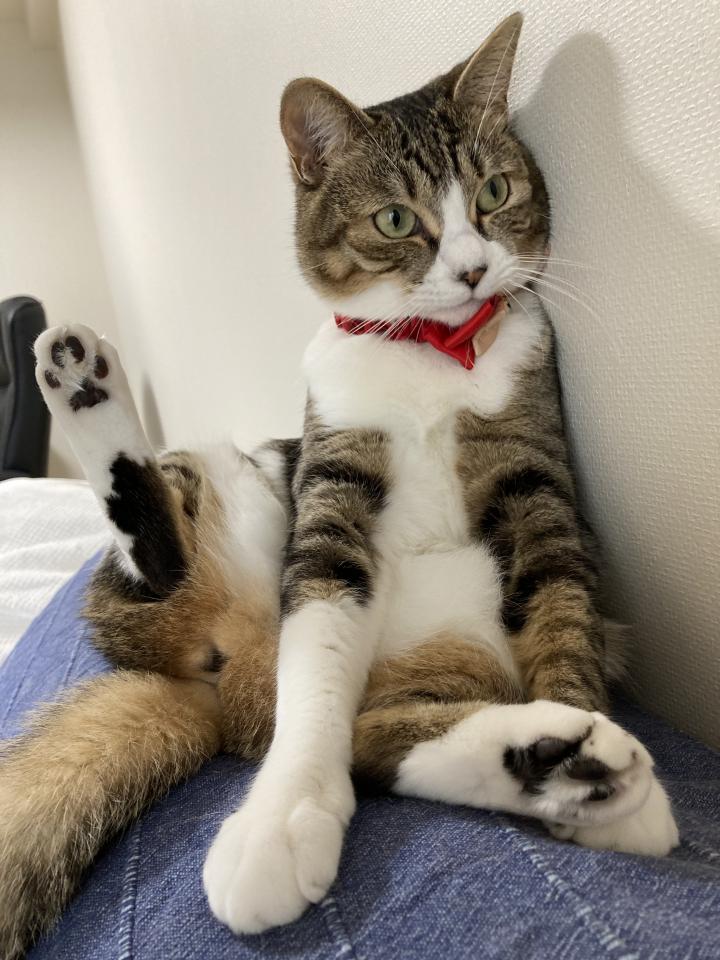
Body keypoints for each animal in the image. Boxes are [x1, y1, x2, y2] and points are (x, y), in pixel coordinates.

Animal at [0, 13, 678, 958]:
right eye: (397, 219)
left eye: (495, 191)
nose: (473, 269)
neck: (432, 350)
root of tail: (222, 684)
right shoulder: (332, 483)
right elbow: (318, 659)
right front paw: (283, 817)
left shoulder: (536, 474)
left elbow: (561, 606)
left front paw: (594, 749)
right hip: (227, 482)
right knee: (172, 579)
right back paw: (85, 386)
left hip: (448, 658)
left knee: (385, 739)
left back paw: (561, 760)